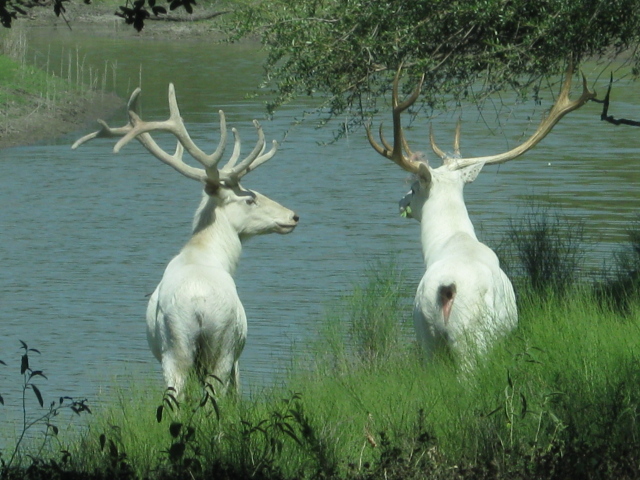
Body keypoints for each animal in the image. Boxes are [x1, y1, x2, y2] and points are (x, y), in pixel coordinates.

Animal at [73, 84, 300, 396]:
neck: (207, 254)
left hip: (174, 348)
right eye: (250, 198)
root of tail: (198, 305)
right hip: (221, 346)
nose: (293, 216)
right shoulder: (237, 355)